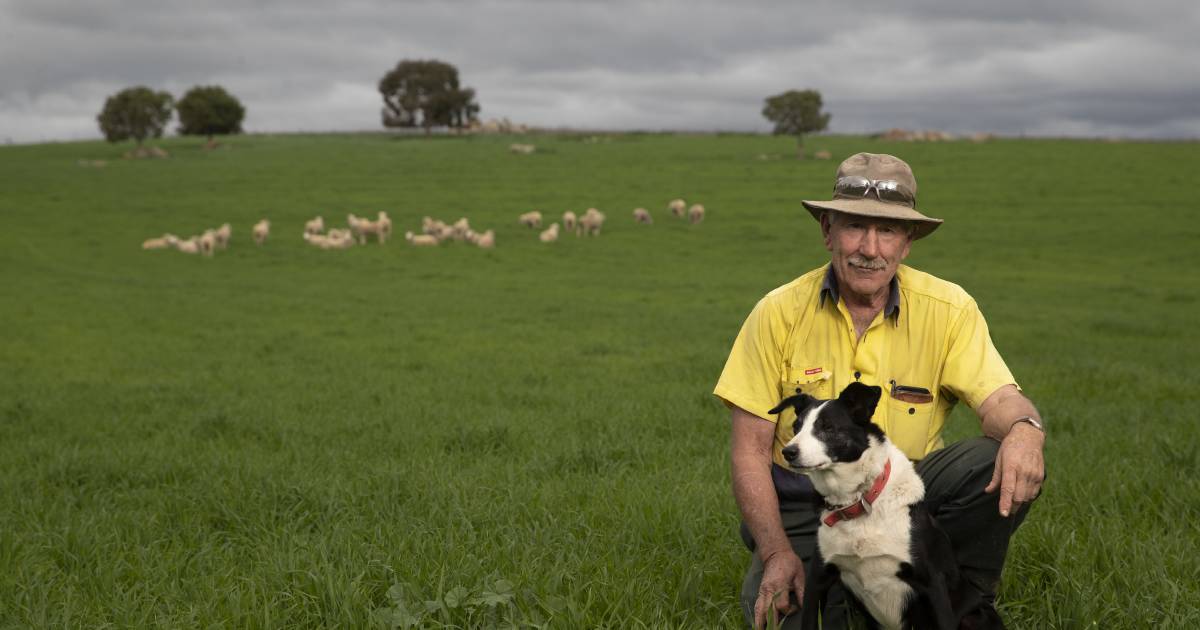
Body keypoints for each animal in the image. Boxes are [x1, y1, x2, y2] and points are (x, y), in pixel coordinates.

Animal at [768, 381, 1003, 628]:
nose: (788, 452)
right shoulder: (818, 579)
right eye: (796, 427)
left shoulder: (933, 583)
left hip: (972, 617)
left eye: (828, 427)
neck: (858, 501)